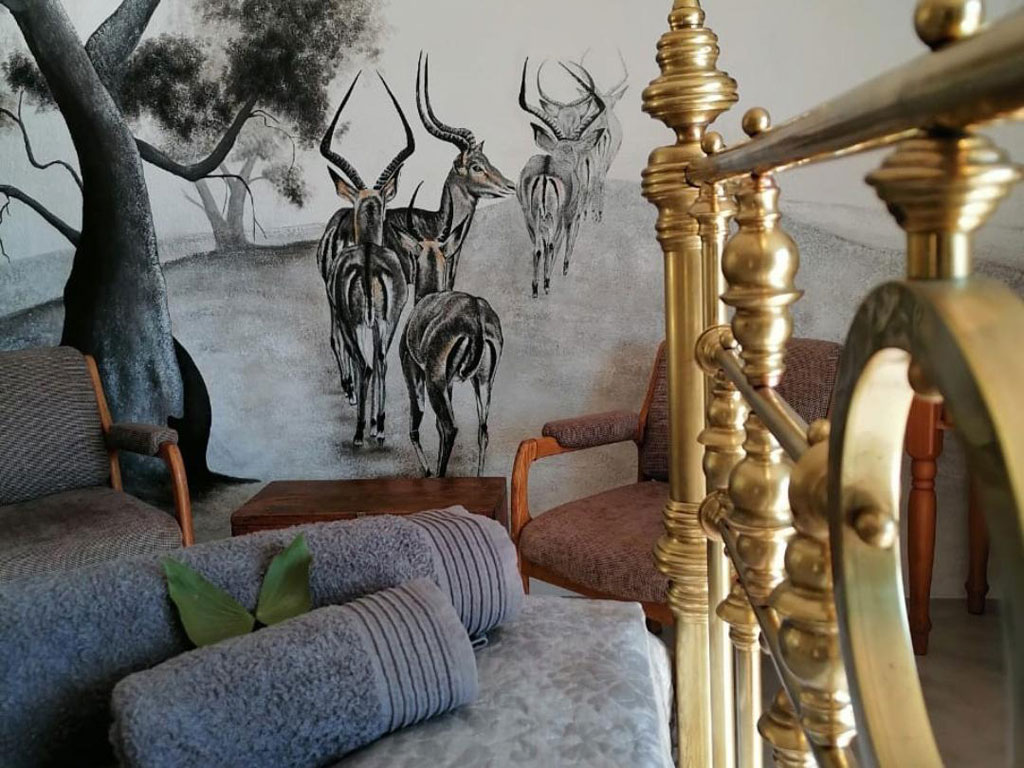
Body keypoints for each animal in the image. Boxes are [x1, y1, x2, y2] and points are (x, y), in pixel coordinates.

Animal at [317, 71, 414, 447]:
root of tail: (369, 261)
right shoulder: (382, 322)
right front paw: (376, 422)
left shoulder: (351, 321)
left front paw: (366, 422)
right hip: (385, 320)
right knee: (381, 362)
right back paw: (379, 426)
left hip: (354, 320)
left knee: (367, 364)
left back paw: (360, 431)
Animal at [394, 186, 503, 478]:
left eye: (414, 255)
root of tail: (475, 316)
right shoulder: (451, 382)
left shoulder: (414, 371)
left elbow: (416, 424)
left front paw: (427, 470)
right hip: (483, 381)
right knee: (482, 430)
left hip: (435, 381)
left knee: (450, 427)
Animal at [517, 58, 605, 297]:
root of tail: (545, 172)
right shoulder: (570, 215)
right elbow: (566, 241)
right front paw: (564, 268)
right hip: (554, 217)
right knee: (548, 245)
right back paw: (546, 284)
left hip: (531, 216)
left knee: (537, 248)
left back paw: (535, 287)